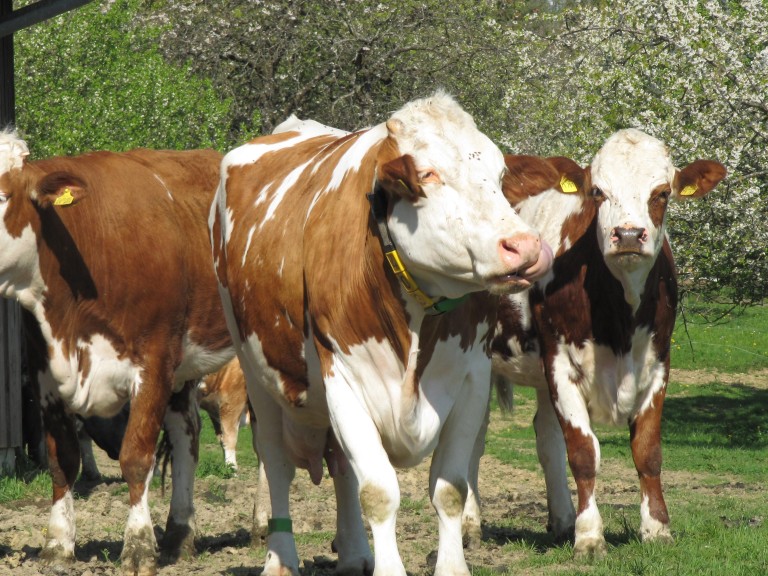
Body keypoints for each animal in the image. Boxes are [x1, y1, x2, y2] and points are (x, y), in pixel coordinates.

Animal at [0, 132, 234, 576]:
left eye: (2, 194)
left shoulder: (154, 364)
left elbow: (136, 457)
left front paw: (138, 547)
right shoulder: (46, 375)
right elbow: (62, 458)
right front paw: (58, 545)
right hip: (185, 371)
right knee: (187, 434)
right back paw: (180, 535)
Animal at [210, 92, 556, 572]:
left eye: (500, 175)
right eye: (427, 174)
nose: (525, 247)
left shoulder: (472, 378)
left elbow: (449, 489)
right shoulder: (343, 378)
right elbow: (378, 492)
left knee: (340, 467)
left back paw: (355, 553)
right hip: (257, 374)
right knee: (276, 464)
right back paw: (280, 560)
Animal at [486, 130, 728, 560]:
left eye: (662, 193)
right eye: (597, 192)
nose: (629, 235)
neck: (620, 320)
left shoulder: (658, 363)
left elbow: (647, 452)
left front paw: (657, 529)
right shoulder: (560, 364)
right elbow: (583, 453)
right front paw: (589, 537)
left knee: (546, 437)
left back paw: (561, 520)